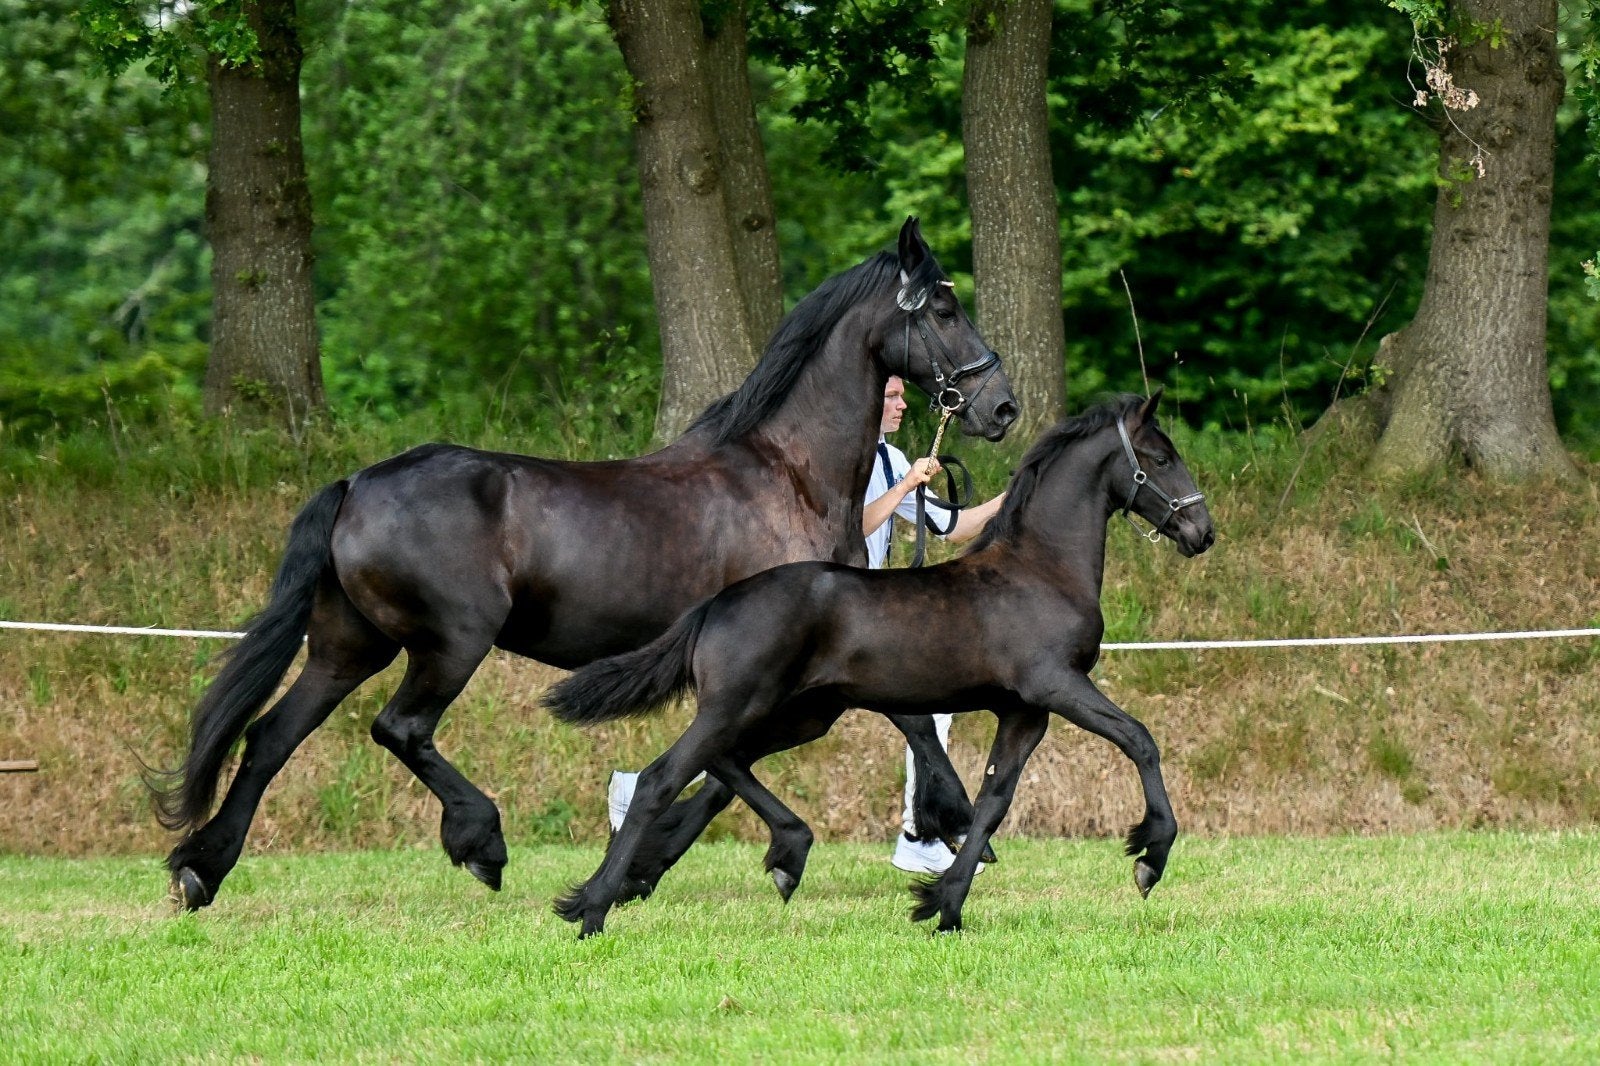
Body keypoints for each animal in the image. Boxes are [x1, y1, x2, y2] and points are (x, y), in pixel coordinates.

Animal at [155, 217, 1019, 911]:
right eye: (944, 310)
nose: (1001, 406)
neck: (788, 474)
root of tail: (356, 483)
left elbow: (741, 762)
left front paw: (643, 865)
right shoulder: (789, 650)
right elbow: (871, 728)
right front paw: (942, 822)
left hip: (349, 644)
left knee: (271, 738)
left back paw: (202, 869)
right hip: (449, 643)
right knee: (399, 728)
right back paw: (480, 841)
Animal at [542, 391, 1214, 937]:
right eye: (1158, 457)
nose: (1201, 531)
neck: (1041, 570)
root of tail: (717, 604)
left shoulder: (1025, 713)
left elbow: (993, 803)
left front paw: (942, 906)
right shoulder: (1057, 686)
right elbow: (1140, 739)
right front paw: (1150, 858)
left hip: (804, 713)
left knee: (726, 762)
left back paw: (786, 854)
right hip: (741, 704)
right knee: (662, 779)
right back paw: (591, 910)